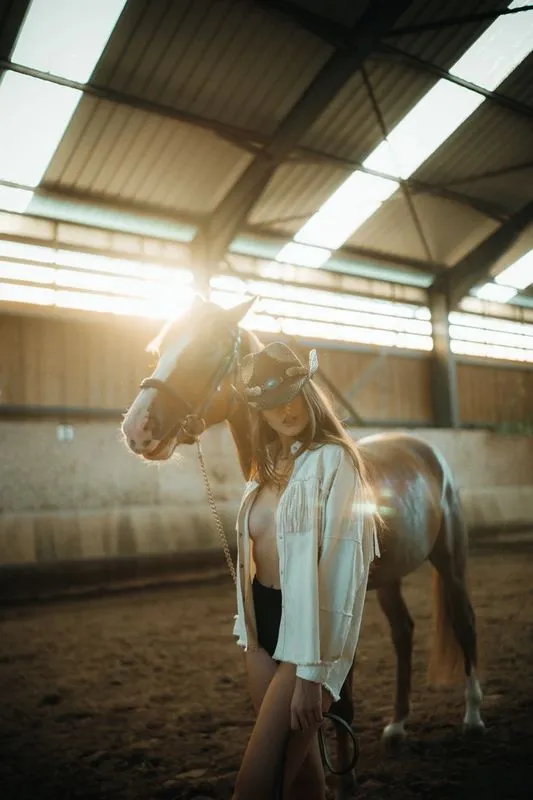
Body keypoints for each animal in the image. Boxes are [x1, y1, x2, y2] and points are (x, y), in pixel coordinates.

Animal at [122, 296, 484, 796]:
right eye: (158, 350)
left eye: (205, 350)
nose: (137, 428)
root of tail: (426, 451)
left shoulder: (340, 605)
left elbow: (339, 698)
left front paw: (348, 783)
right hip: (390, 579)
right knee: (404, 632)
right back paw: (397, 726)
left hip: (450, 562)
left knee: (464, 624)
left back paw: (472, 718)